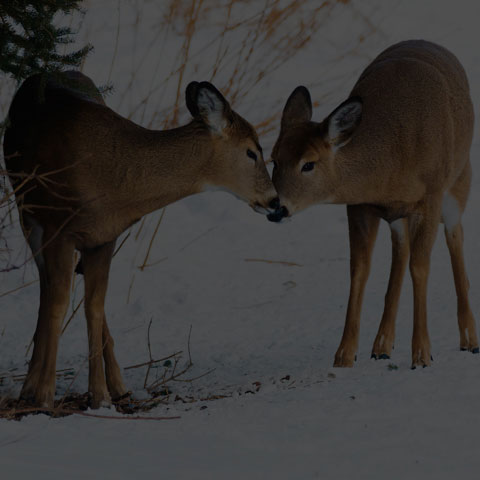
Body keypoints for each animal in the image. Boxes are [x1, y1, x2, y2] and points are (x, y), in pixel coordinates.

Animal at [4, 70, 278, 408]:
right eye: (251, 151)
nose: (274, 201)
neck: (113, 181)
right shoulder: (58, 227)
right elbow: (57, 304)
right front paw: (43, 396)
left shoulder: (104, 237)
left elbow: (93, 308)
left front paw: (100, 396)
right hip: (26, 211)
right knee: (47, 290)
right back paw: (33, 386)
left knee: (82, 299)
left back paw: (118, 386)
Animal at [268, 41, 478, 370]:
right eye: (274, 159)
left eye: (309, 164)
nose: (277, 207)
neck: (391, 163)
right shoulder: (360, 205)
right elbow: (359, 269)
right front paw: (344, 355)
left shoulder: (429, 196)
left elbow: (421, 267)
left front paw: (422, 354)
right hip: (399, 215)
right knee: (400, 251)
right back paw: (382, 345)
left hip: (459, 179)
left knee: (455, 237)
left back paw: (469, 339)